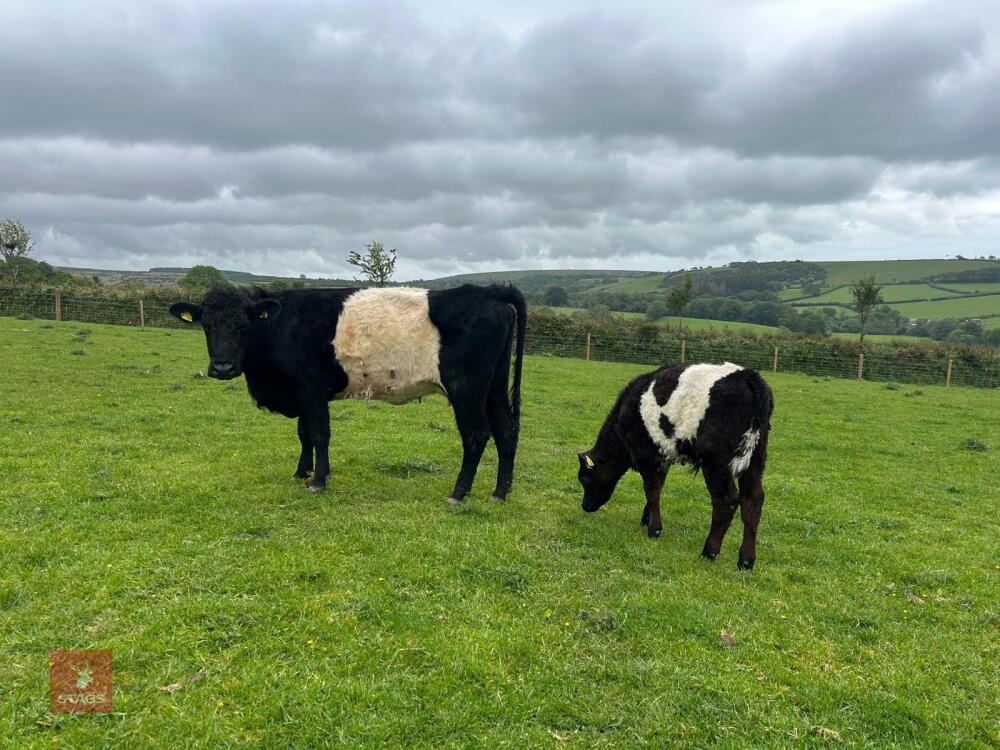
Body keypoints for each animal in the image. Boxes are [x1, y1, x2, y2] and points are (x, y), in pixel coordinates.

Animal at [169, 284, 525, 504]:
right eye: (207, 326)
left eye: (243, 326)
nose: (223, 367)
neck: (279, 325)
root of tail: (491, 292)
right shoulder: (304, 394)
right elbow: (304, 434)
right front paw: (303, 471)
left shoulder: (310, 388)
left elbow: (319, 433)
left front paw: (317, 481)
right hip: (494, 387)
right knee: (506, 431)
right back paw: (500, 493)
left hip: (466, 388)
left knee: (477, 434)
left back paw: (458, 493)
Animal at [577, 362, 773, 569]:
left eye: (584, 479)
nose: (585, 506)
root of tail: (748, 376)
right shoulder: (662, 457)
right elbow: (658, 487)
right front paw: (647, 519)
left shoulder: (645, 455)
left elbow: (652, 491)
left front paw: (654, 529)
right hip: (756, 457)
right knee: (753, 500)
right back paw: (746, 560)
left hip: (715, 461)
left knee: (726, 501)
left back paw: (709, 552)